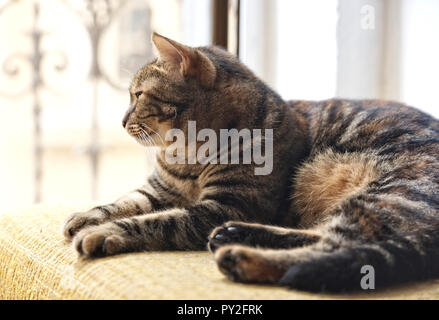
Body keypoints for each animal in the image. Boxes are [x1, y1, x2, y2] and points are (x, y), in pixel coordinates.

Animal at [63, 32, 439, 292]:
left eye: (138, 96)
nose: (122, 121)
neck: (187, 153)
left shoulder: (224, 205)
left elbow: (156, 222)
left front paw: (103, 232)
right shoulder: (159, 191)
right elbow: (123, 202)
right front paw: (85, 217)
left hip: (384, 193)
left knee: (338, 247)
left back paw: (242, 257)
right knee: (324, 236)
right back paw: (235, 236)